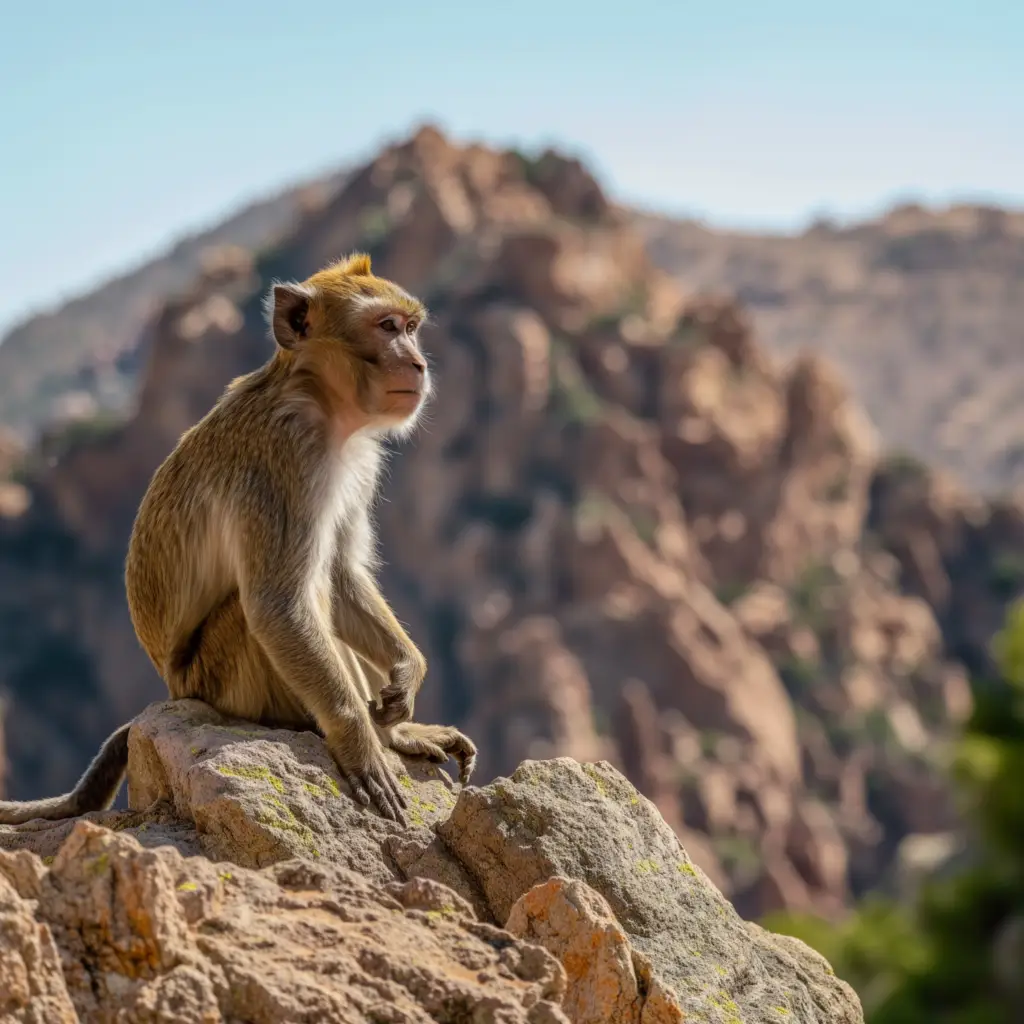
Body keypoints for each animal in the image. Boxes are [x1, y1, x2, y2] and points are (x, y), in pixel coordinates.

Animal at [0, 251, 479, 827]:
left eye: (410, 328)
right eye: (386, 327)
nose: (418, 364)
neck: (320, 403)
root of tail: (176, 689)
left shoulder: (356, 464)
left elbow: (341, 572)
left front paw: (407, 674)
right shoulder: (284, 460)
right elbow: (279, 605)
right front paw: (359, 745)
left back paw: (401, 733)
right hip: (226, 681)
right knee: (275, 607)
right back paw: (372, 737)